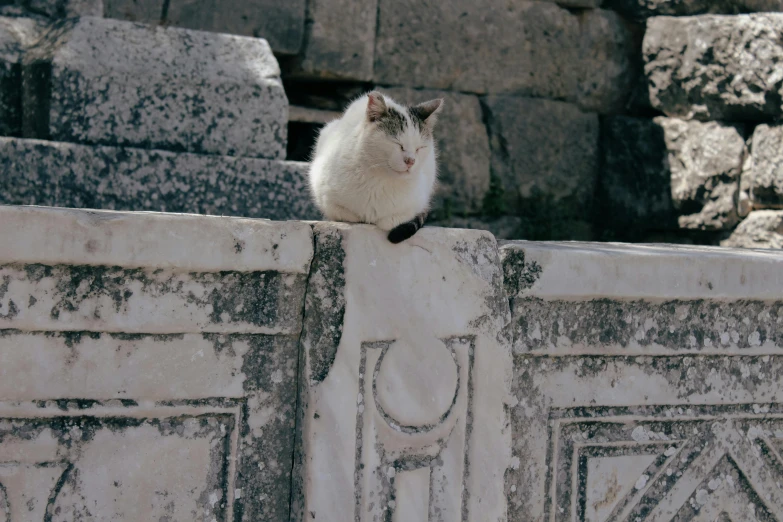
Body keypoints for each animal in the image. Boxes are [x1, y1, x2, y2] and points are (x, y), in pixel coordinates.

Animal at [310, 91, 444, 242]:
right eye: (398, 144)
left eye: (420, 148)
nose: (411, 161)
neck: (380, 179)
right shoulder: (325, 196)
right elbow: (345, 213)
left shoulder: (418, 202)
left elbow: (394, 219)